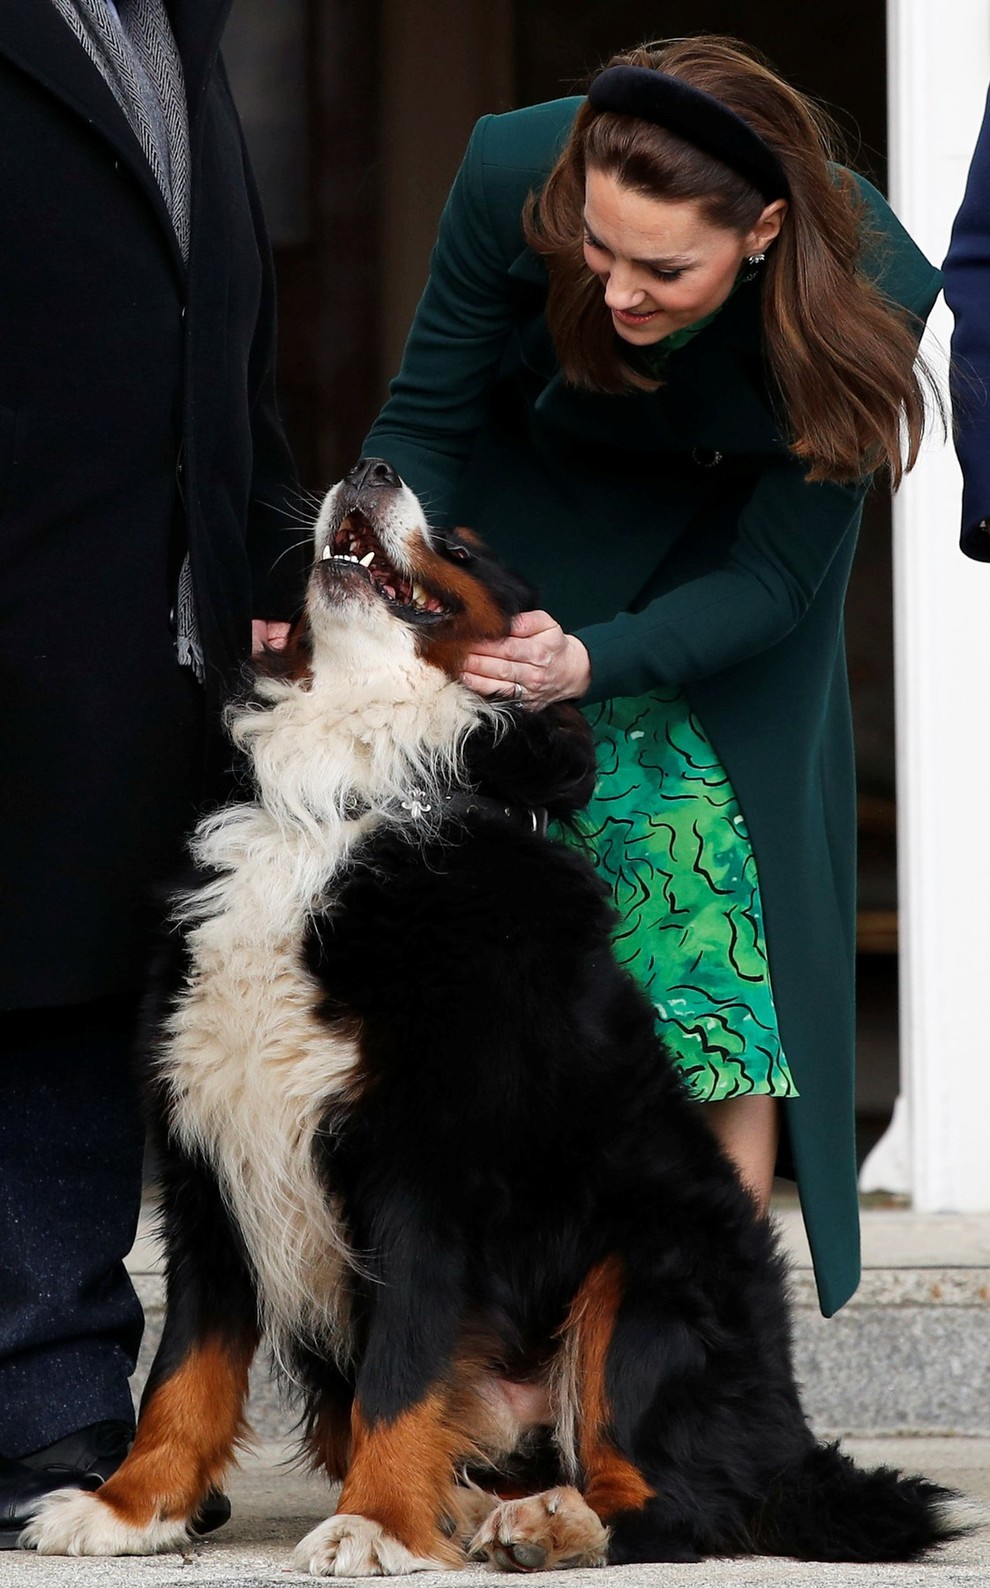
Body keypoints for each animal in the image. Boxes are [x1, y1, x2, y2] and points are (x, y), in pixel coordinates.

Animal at [23, 457, 966, 1562]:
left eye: (464, 549)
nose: (374, 465)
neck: (342, 800)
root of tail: (787, 1442)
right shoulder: (208, 1147)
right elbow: (186, 1367)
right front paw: (131, 1506)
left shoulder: (429, 1162)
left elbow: (404, 1367)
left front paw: (374, 1523)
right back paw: (479, 1509)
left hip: (651, 1267)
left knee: (673, 1500)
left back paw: (546, 1522)